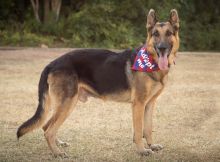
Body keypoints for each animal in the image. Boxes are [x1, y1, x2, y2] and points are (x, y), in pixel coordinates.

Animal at [17, 9, 179, 157]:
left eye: (168, 33)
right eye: (155, 34)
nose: (162, 48)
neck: (151, 61)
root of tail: (52, 64)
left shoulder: (149, 104)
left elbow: (148, 128)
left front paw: (151, 145)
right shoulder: (138, 104)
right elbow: (139, 131)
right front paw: (142, 150)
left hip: (67, 104)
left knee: (46, 126)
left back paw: (58, 145)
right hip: (67, 103)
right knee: (49, 130)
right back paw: (57, 153)